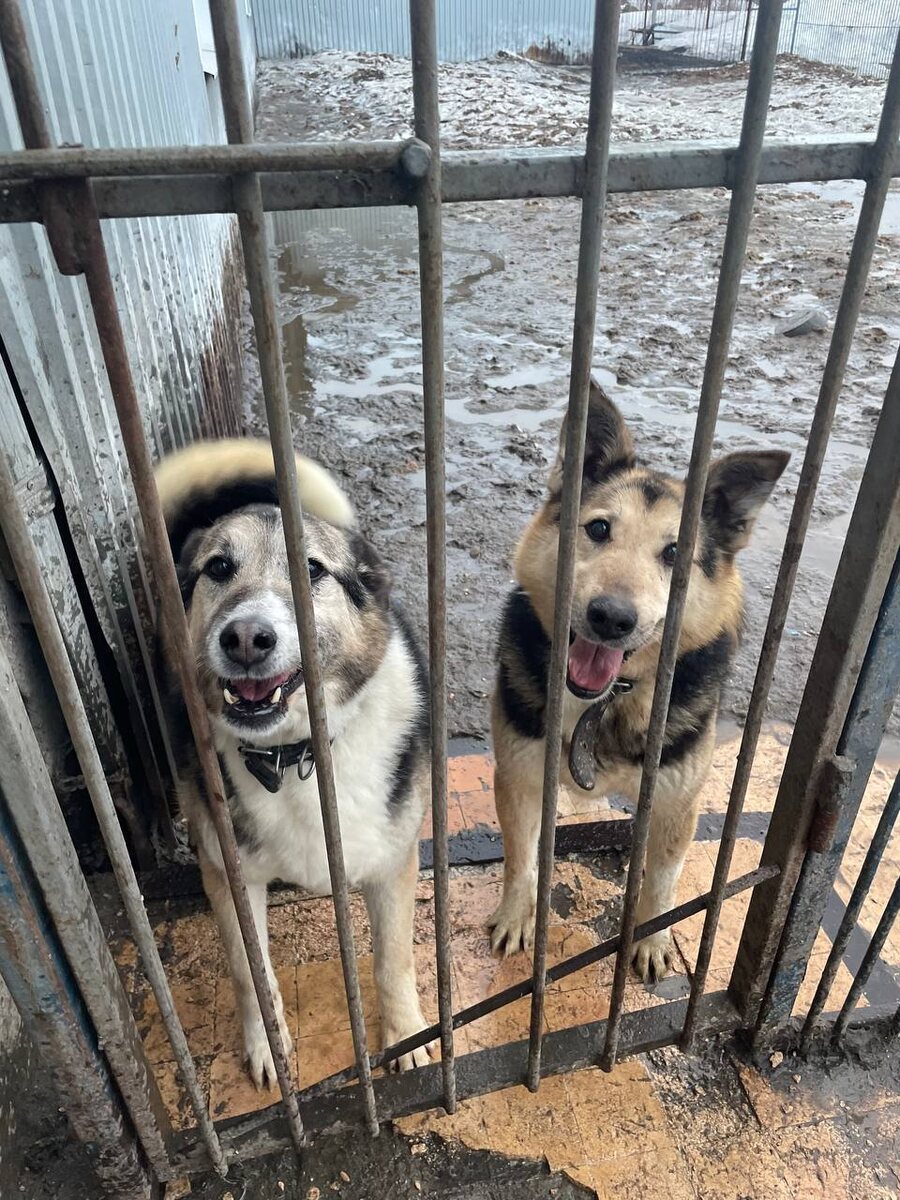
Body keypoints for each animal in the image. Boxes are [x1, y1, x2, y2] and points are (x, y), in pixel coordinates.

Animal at [155, 439, 432, 1087]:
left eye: (313, 571)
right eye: (219, 568)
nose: (246, 638)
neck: (294, 752)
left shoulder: (394, 862)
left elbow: (392, 961)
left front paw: (406, 1036)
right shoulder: (226, 874)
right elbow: (248, 974)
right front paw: (269, 1049)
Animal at [489, 382, 788, 982]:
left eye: (675, 554)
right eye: (598, 529)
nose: (611, 618)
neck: (605, 701)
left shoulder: (676, 803)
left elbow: (664, 885)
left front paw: (651, 939)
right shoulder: (518, 779)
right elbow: (520, 861)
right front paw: (516, 915)